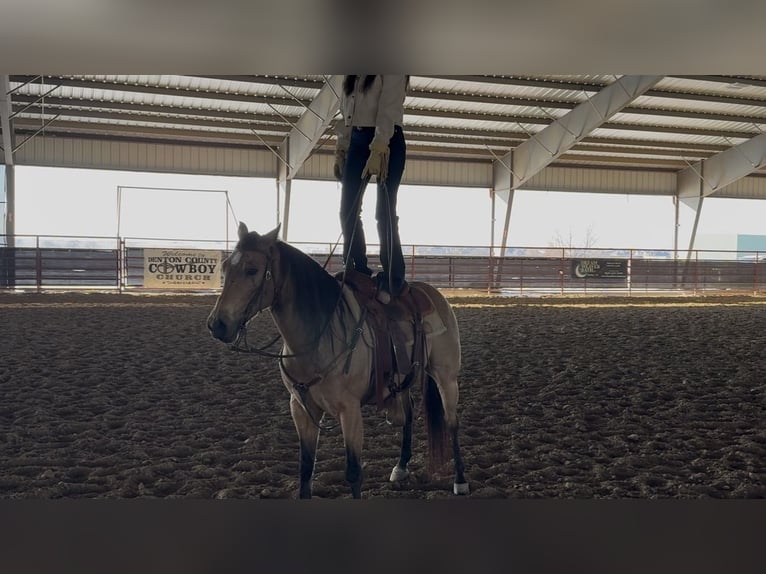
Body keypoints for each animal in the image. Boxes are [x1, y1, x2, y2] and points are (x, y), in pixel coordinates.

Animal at [207, 222, 468, 499]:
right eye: (226, 267)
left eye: (252, 270)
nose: (217, 324)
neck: (318, 336)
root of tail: (432, 293)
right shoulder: (301, 408)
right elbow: (305, 469)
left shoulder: (349, 410)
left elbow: (353, 472)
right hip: (403, 380)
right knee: (407, 415)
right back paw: (401, 467)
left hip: (446, 377)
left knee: (452, 423)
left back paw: (460, 481)